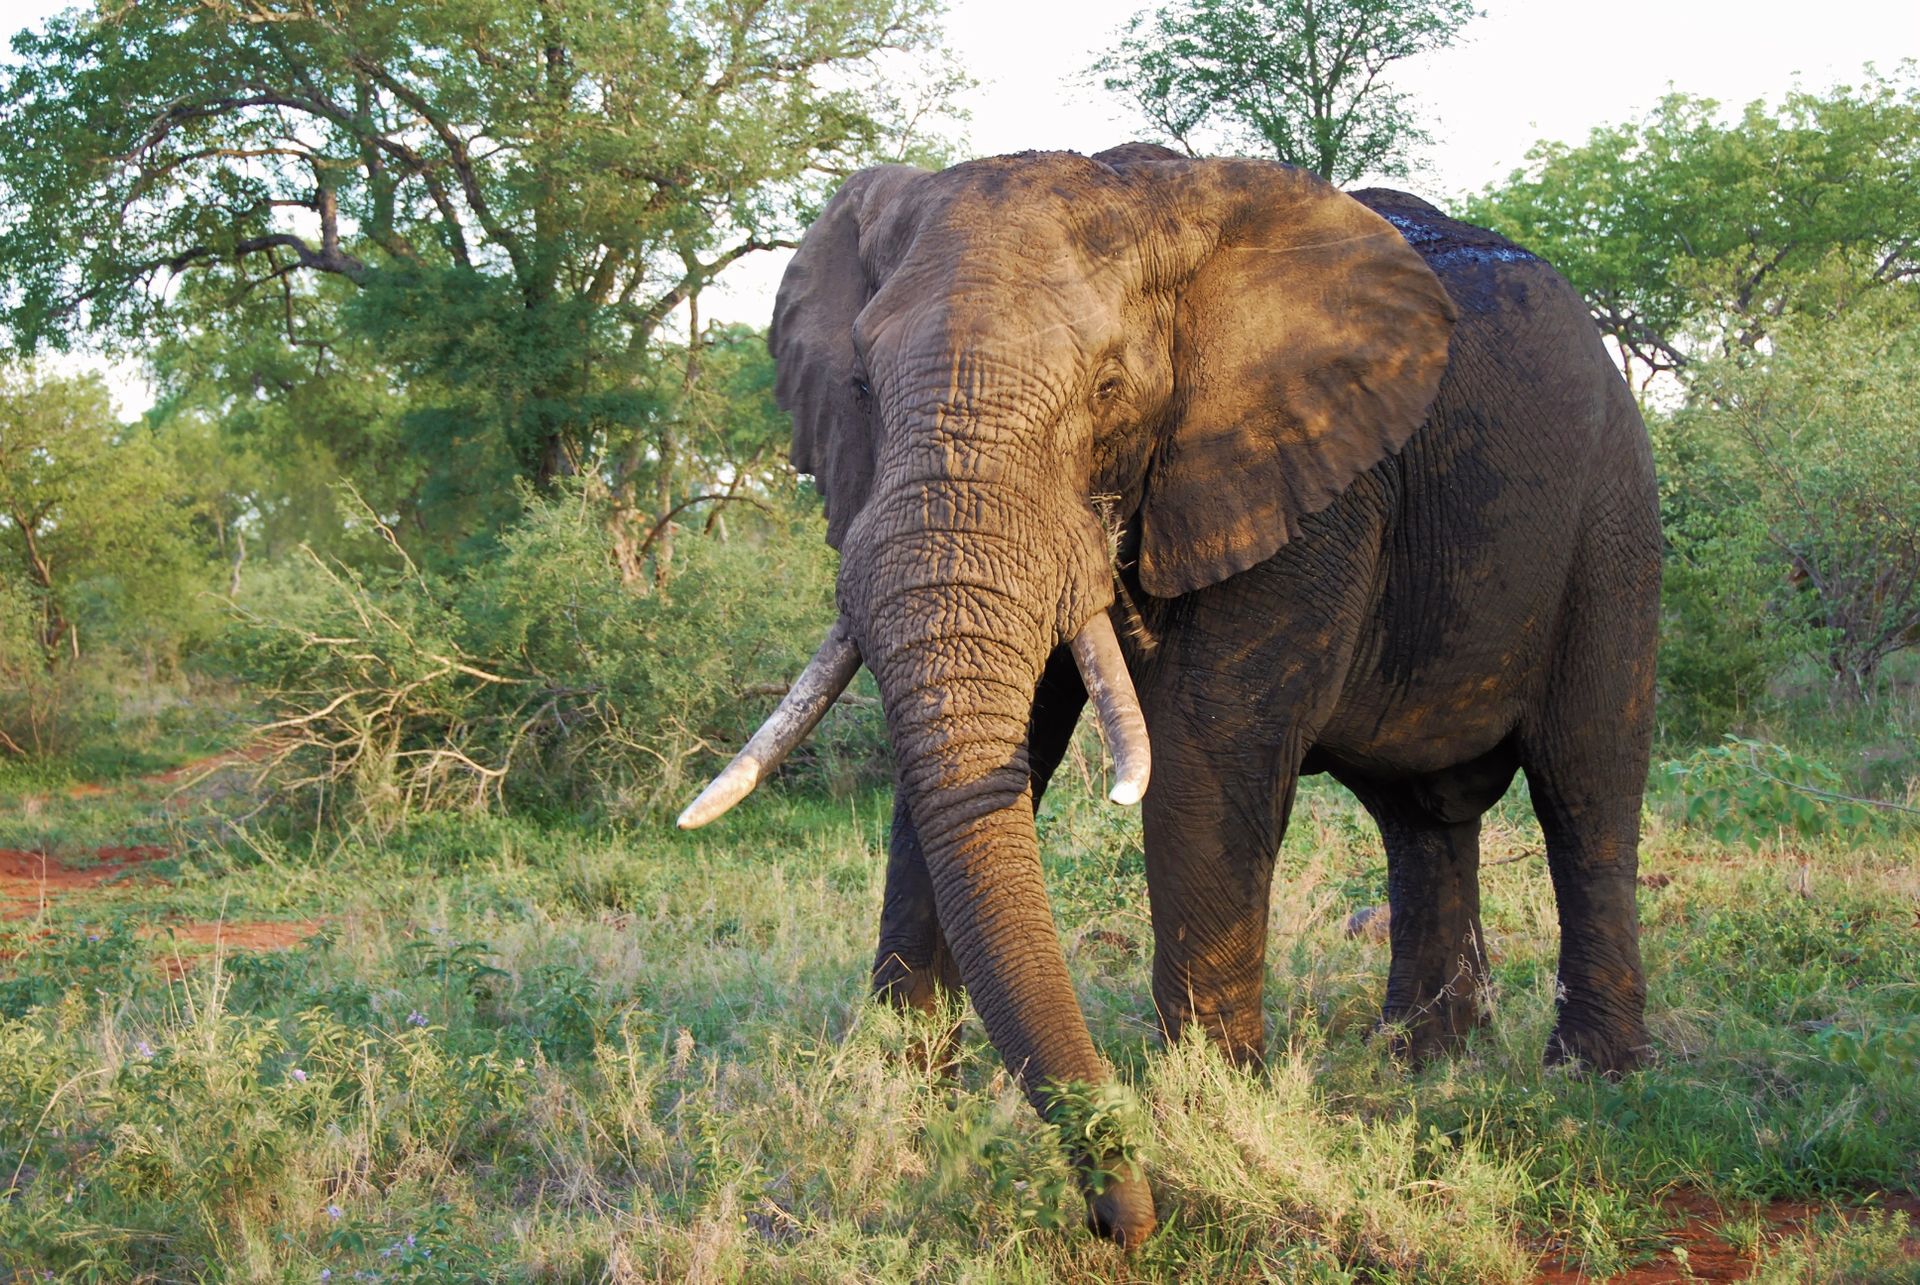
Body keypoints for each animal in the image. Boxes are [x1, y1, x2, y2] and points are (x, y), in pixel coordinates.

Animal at [678, 143, 1660, 1246]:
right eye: (858, 385)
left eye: (1110, 388)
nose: (1119, 1212)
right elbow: (984, 763)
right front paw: (903, 1114)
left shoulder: (1298, 477)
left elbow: (1202, 761)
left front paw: (1211, 1128)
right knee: (1422, 816)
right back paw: (1420, 1061)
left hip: (1614, 509)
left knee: (1586, 782)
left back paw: (1592, 1078)